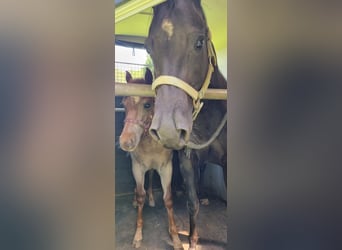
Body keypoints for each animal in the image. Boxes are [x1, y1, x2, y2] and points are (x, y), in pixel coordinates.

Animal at [145, 0, 227, 249]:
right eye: (148, 48)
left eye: (199, 42)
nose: (168, 130)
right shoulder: (188, 160)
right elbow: (193, 204)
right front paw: (193, 241)